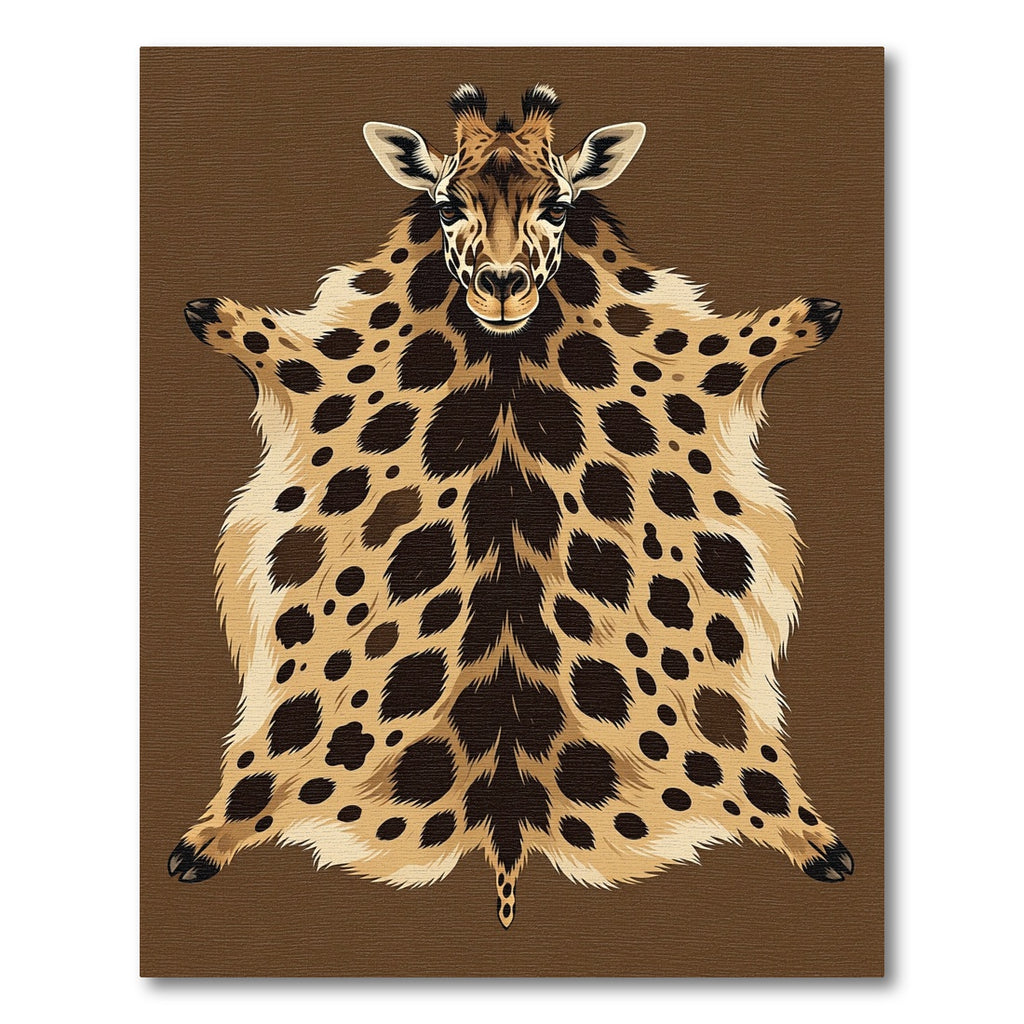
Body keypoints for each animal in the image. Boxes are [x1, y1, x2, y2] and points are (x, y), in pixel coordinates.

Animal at [170, 83, 852, 928]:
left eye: (558, 204)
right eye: (445, 205)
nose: (501, 283)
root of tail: (506, 831)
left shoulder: (698, 359)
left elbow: (760, 336)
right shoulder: (318, 360)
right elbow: (254, 333)